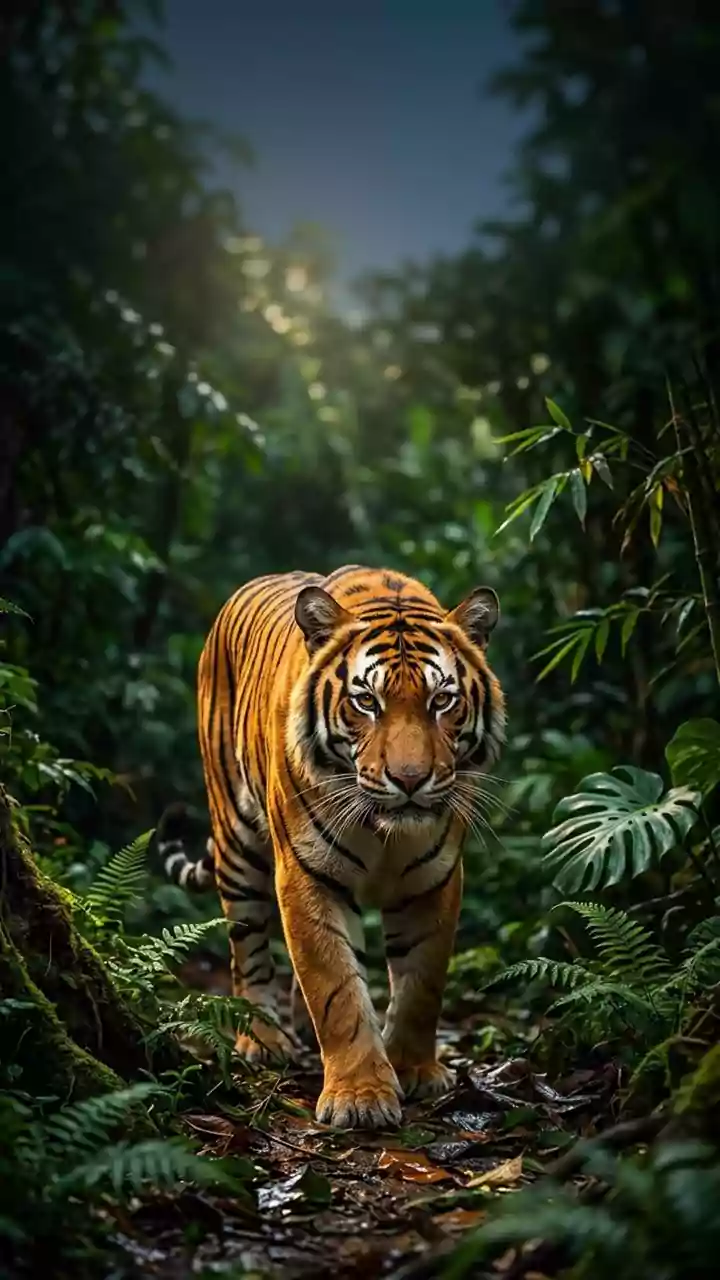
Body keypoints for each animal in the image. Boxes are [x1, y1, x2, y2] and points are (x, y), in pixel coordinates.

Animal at [157, 565, 505, 1130]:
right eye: (367, 702)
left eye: (442, 701)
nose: (410, 780)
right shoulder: (305, 875)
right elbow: (336, 989)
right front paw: (360, 1097)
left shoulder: (434, 880)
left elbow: (421, 984)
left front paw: (414, 1070)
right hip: (236, 842)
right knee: (247, 952)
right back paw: (263, 1040)